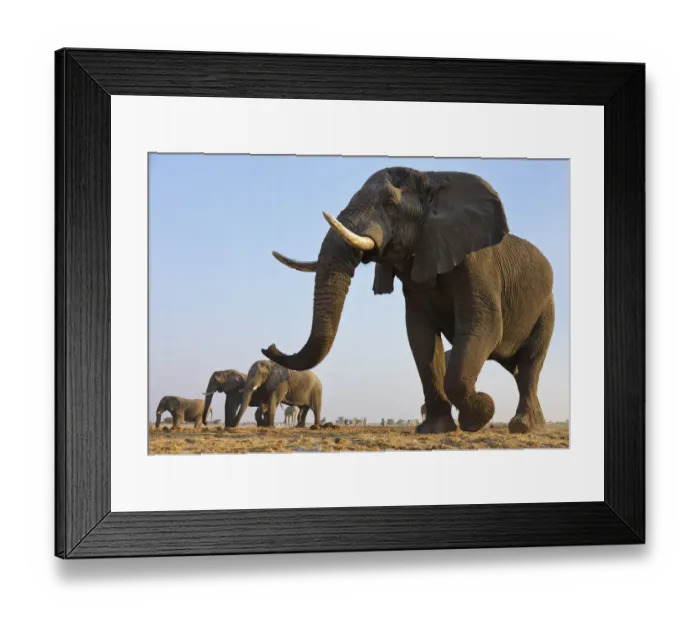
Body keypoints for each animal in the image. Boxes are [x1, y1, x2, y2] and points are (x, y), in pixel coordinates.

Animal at [262, 166, 554, 435]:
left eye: (390, 205)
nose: (270, 347)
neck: (431, 179)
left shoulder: (478, 264)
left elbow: (485, 326)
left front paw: (481, 413)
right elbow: (421, 338)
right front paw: (436, 430)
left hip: (547, 308)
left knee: (530, 365)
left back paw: (524, 427)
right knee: (521, 372)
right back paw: (535, 424)